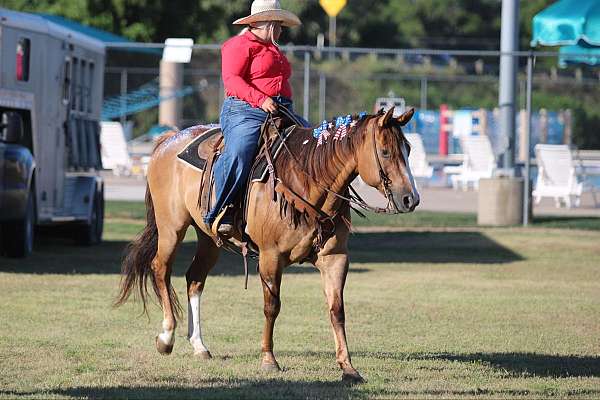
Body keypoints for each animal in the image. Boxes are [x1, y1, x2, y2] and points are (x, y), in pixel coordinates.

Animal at [115, 105, 420, 382]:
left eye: (408, 149)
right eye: (385, 151)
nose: (411, 199)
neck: (307, 181)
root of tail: (169, 139)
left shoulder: (335, 258)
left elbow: (337, 310)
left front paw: (348, 367)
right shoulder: (270, 257)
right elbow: (271, 306)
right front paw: (268, 360)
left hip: (209, 238)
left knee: (195, 279)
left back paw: (199, 346)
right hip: (171, 228)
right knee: (161, 269)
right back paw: (166, 338)